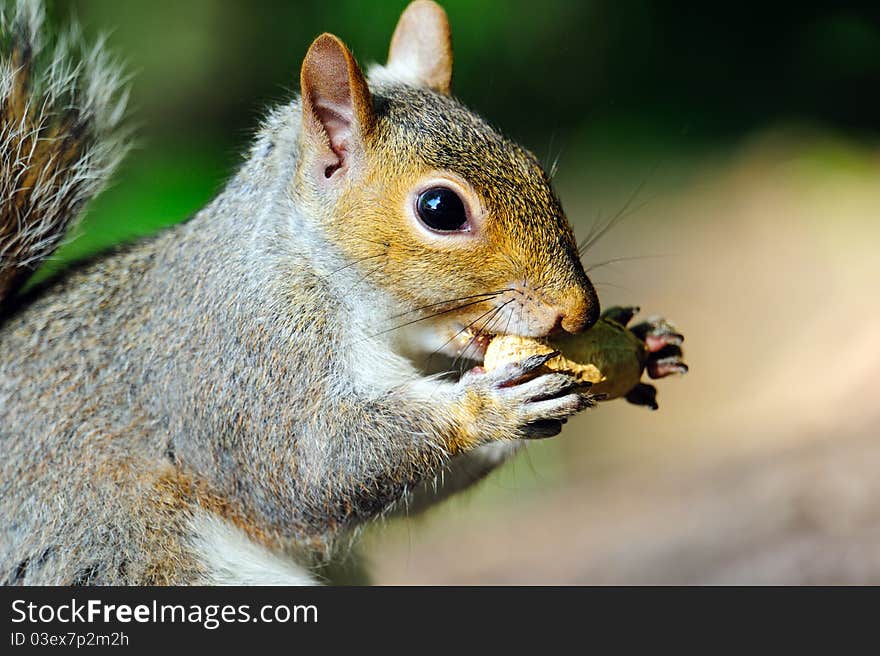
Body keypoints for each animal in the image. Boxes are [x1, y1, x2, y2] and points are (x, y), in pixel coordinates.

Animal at [0, 0, 688, 584]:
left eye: (535, 169)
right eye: (440, 208)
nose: (580, 311)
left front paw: (641, 343)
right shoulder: (248, 359)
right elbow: (309, 468)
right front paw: (485, 406)